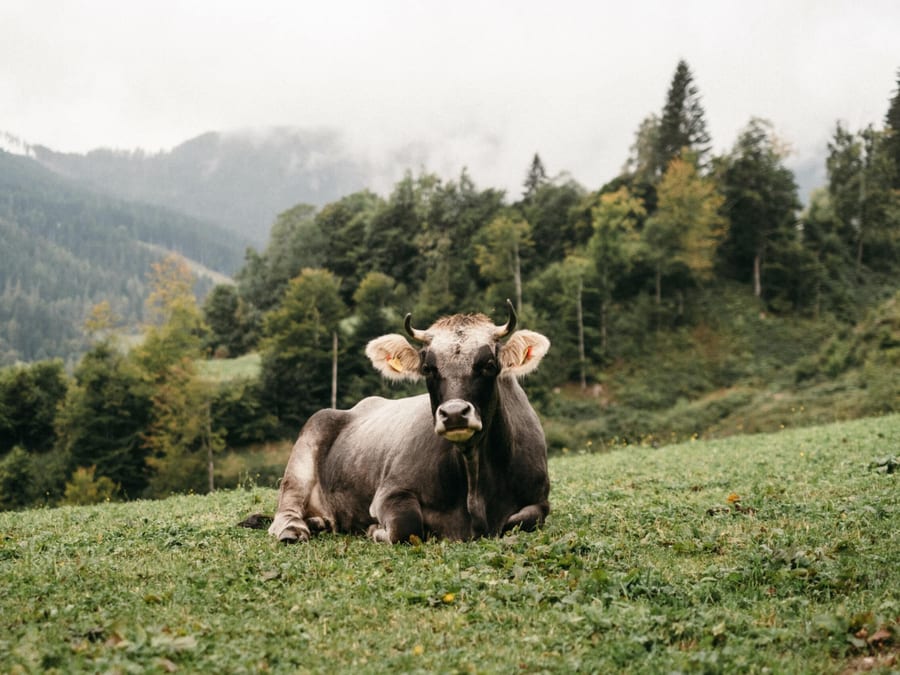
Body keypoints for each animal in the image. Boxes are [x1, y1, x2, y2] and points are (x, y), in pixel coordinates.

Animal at [266, 300, 551, 544]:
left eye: (489, 364)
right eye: (428, 369)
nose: (454, 413)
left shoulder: (540, 499)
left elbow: (521, 520)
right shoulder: (389, 492)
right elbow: (406, 525)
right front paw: (374, 529)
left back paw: (320, 522)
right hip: (307, 445)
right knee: (287, 504)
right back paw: (294, 529)